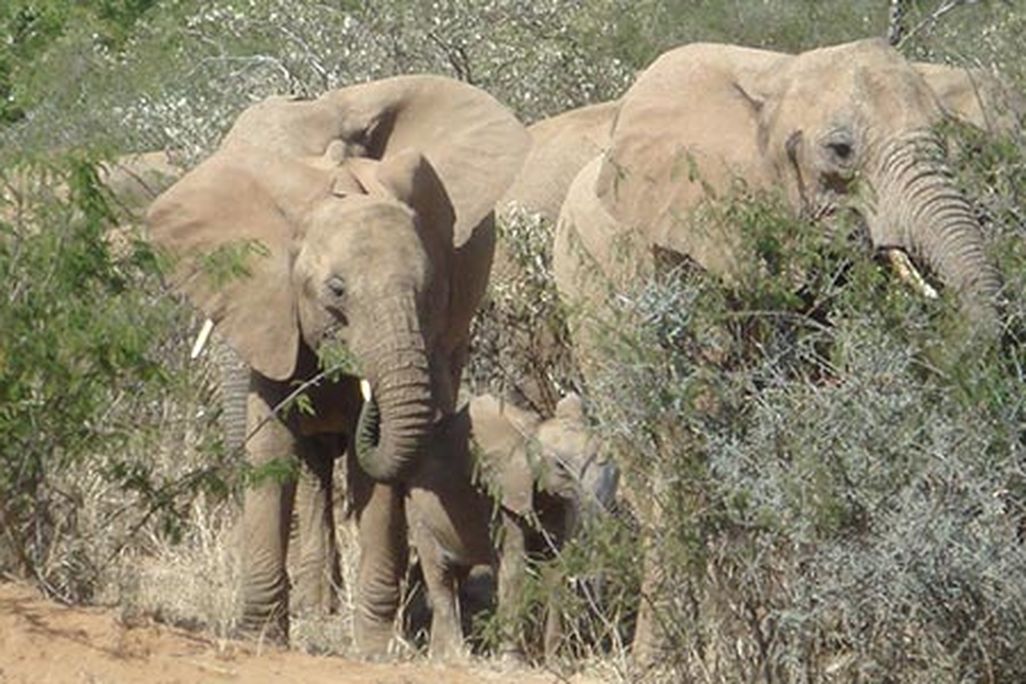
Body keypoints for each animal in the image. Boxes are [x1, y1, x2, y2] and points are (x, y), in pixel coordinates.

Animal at [146, 75, 529, 652]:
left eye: (427, 288)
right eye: (336, 291)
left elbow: (371, 470)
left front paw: (375, 646)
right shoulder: (269, 303)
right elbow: (271, 446)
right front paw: (261, 639)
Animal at [356, 389, 618, 660]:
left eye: (616, 473)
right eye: (560, 467)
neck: (531, 433)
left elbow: (555, 569)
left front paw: (556, 660)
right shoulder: (498, 495)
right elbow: (513, 568)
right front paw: (514, 663)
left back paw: (439, 655)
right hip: (417, 507)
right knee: (438, 572)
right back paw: (456, 656)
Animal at [552, 39, 1013, 661]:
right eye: (840, 151)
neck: (780, 75)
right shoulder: (687, 248)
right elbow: (704, 418)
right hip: (587, 311)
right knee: (648, 467)